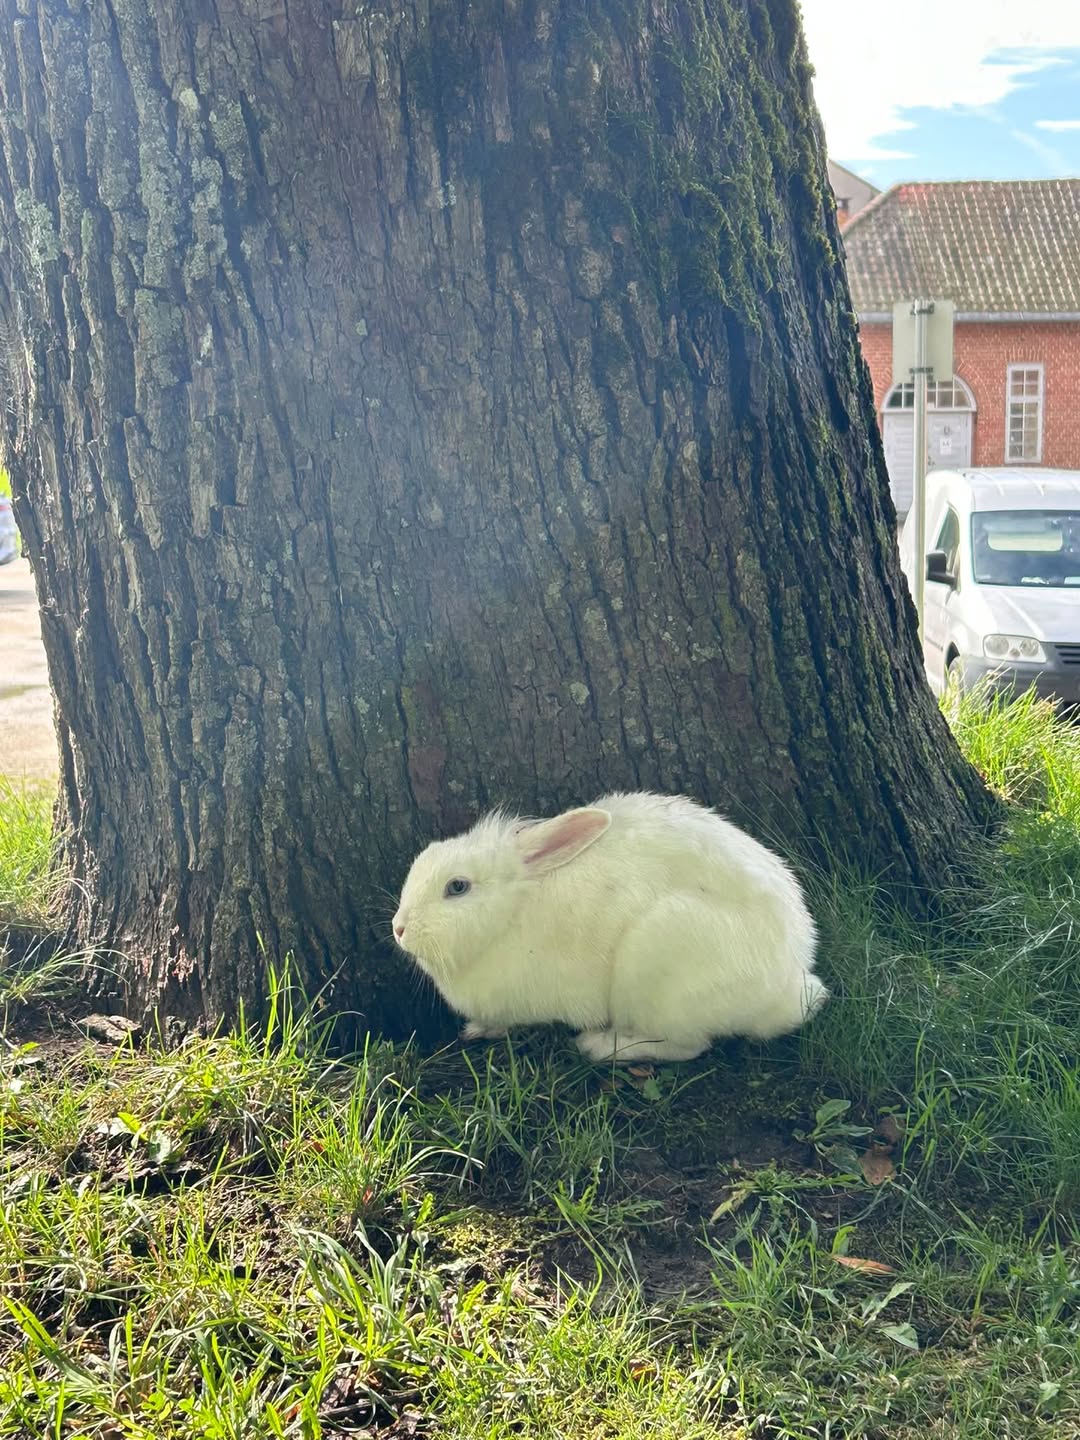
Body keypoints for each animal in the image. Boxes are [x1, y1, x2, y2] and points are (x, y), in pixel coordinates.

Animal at [391, 791, 827, 1063]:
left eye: (457, 887)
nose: (399, 928)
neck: (512, 912)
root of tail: (787, 987)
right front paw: (477, 1029)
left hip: (659, 970)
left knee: (687, 1046)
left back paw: (601, 1046)